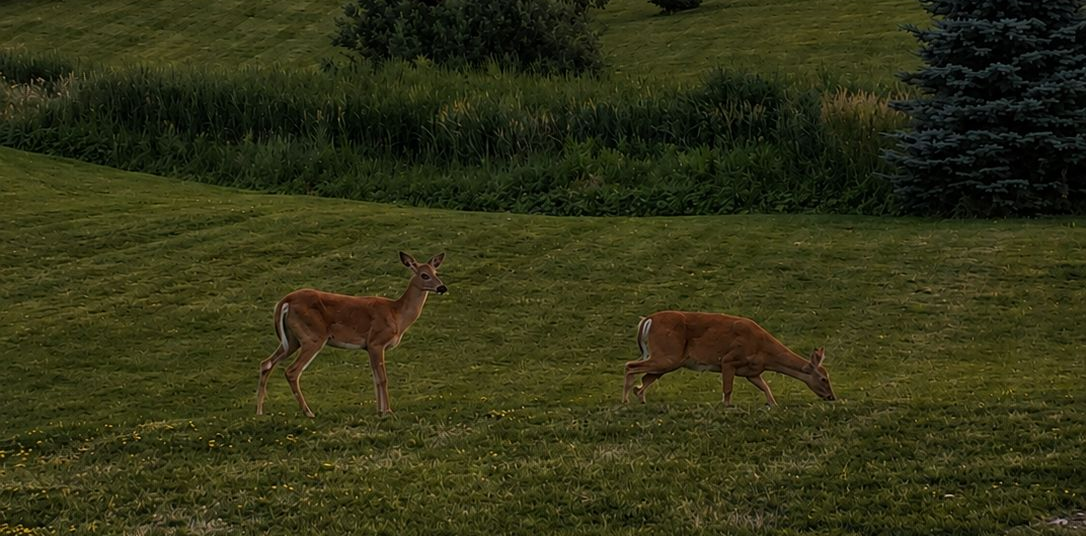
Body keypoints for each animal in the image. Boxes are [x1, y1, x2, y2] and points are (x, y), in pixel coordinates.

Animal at [256, 252, 447, 417]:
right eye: (424, 275)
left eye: (436, 272)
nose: (442, 287)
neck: (396, 314)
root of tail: (284, 302)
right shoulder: (377, 341)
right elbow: (383, 378)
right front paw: (388, 411)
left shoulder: (369, 347)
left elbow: (375, 378)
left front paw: (379, 411)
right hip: (313, 337)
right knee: (291, 371)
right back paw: (309, 412)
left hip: (292, 339)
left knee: (266, 363)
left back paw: (259, 412)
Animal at [623, 311, 836, 407]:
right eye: (824, 378)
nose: (832, 397)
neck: (764, 352)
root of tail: (646, 320)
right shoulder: (729, 359)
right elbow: (727, 389)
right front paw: (726, 406)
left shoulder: (752, 372)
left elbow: (765, 387)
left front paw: (773, 404)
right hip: (668, 354)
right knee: (630, 365)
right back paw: (625, 400)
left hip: (667, 360)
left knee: (643, 377)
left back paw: (640, 398)